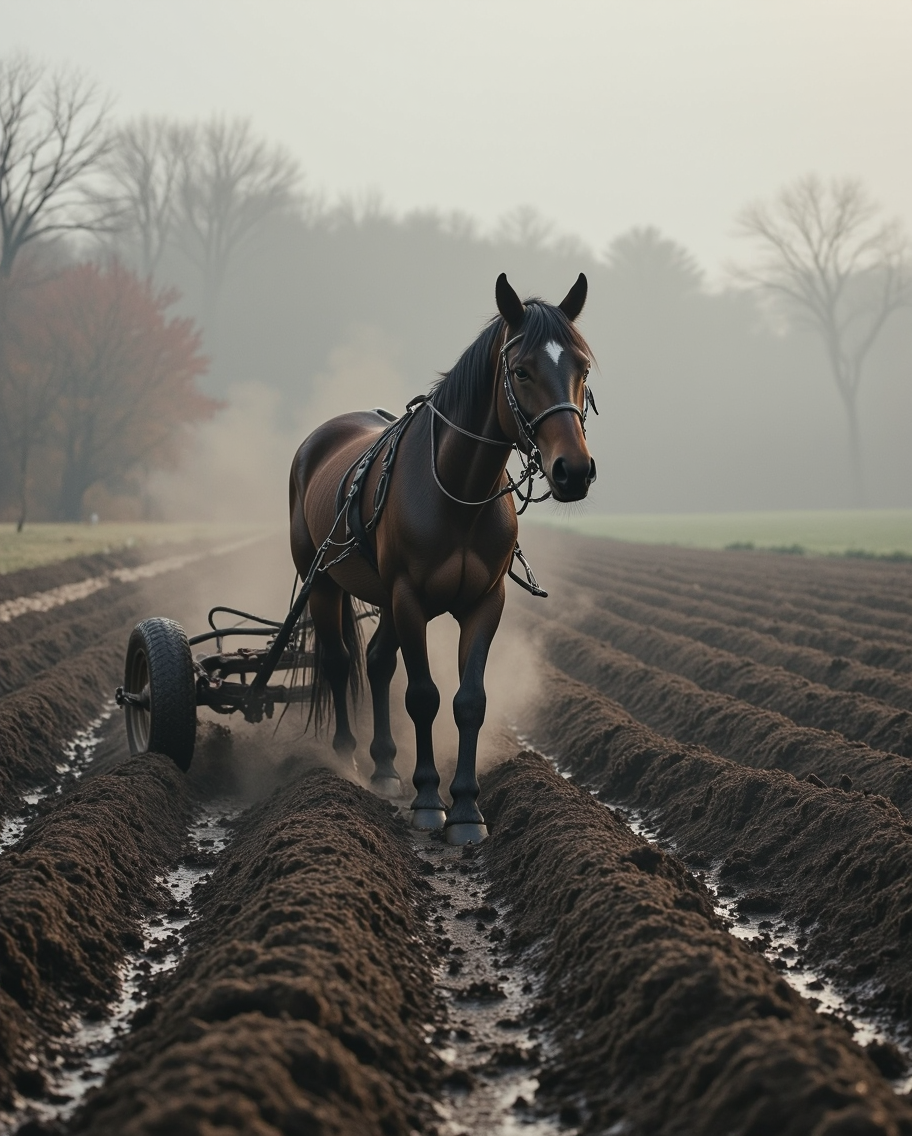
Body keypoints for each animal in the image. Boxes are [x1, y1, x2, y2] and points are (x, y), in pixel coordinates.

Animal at [289, 272, 596, 844]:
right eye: (521, 370)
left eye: (582, 368)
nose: (574, 470)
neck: (459, 492)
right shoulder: (409, 598)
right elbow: (423, 696)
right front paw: (430, 800)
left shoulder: (484, 601)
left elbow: (469, 700)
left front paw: (467, 808)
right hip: (322, 581)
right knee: (340, 662)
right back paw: (347, 760)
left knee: (377, 661)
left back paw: (385, 767)